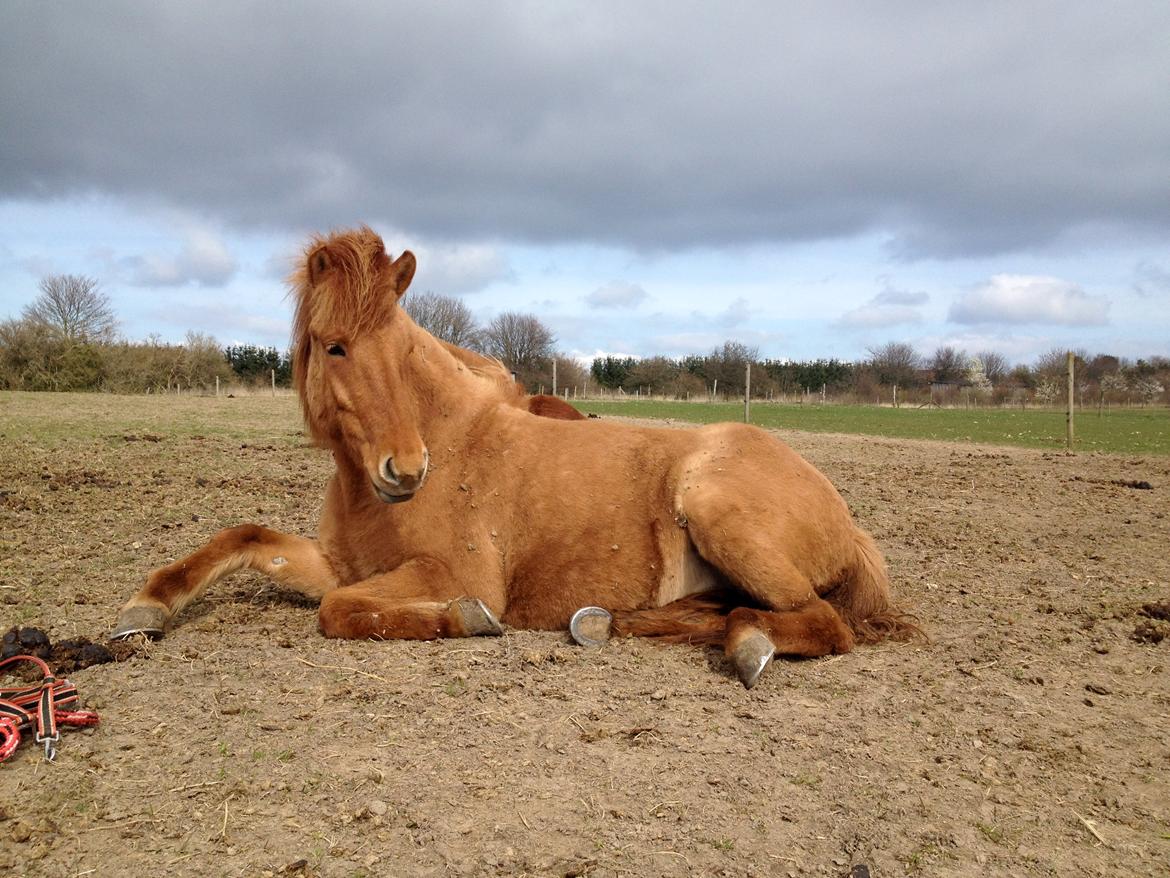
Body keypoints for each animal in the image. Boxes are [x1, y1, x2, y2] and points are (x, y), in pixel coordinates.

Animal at [111, 230, 912, 693]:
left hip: (719, 511)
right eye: (334, 346)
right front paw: (148, 606)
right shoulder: (336, 565)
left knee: (819, 623)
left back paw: (748, 644)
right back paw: (612, 624)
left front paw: (465, 621)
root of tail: (846, 519)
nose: (406, 470)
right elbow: (246, 540)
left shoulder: (446, 572)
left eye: (402, 346)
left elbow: (345, 612)